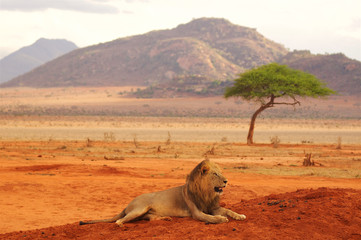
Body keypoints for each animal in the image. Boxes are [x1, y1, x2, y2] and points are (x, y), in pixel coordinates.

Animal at [79, 159, 245, 227]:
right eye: (215, 174)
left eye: (221, 173)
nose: (226, 181)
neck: (207, 193)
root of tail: (128, 204)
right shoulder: (196, 212)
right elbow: (209, 217)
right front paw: (220, 219)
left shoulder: (213, 206)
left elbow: (228, 210)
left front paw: (240, 215)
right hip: (140, 208)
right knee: (120, 220)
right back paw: (121, 225)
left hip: (144, 213)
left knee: (150, 219)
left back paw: (165, 218)